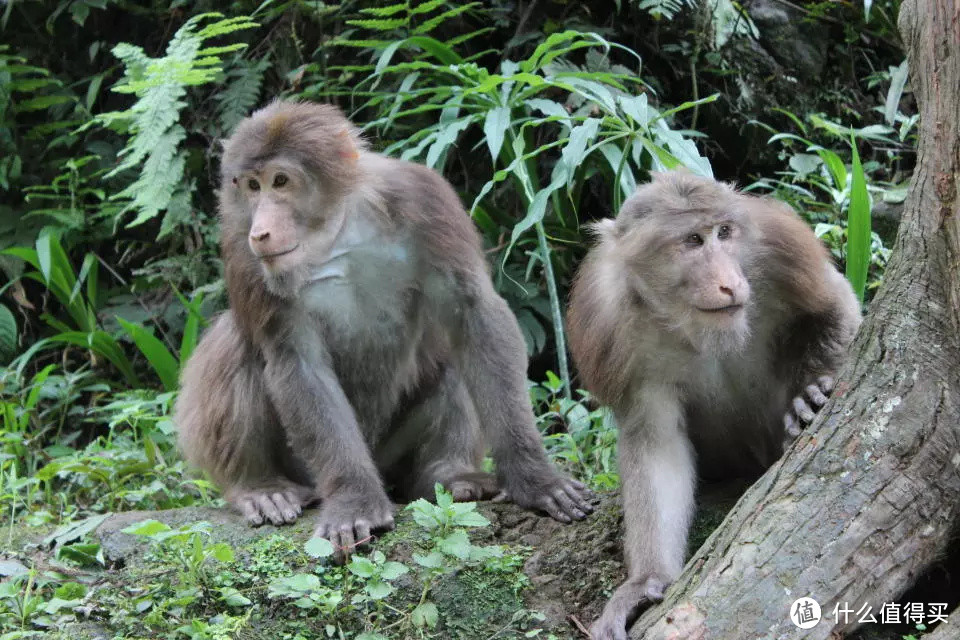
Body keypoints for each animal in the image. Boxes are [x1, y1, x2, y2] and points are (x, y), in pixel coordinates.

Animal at [175, 99, 588, 560]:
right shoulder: (239, 243)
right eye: (251, 186)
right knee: (236, 345)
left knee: (452, 354)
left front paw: (533, 476)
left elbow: (475, 316)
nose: (260, 231)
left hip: (392, 455)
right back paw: (259, 486)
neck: (337, 231)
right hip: (305, 465)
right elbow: (296, 359)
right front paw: (354, 499)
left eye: (280, 181)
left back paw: (448, 474)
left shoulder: (425, 199)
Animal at [568, 171, 868, 640]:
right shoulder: (608, 323)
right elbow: (656, 443)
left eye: (723, 233)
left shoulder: (782, 248)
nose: (729, 282)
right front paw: (645, 582)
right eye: (693, 240)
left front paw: (812, 395)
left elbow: (833, 304)